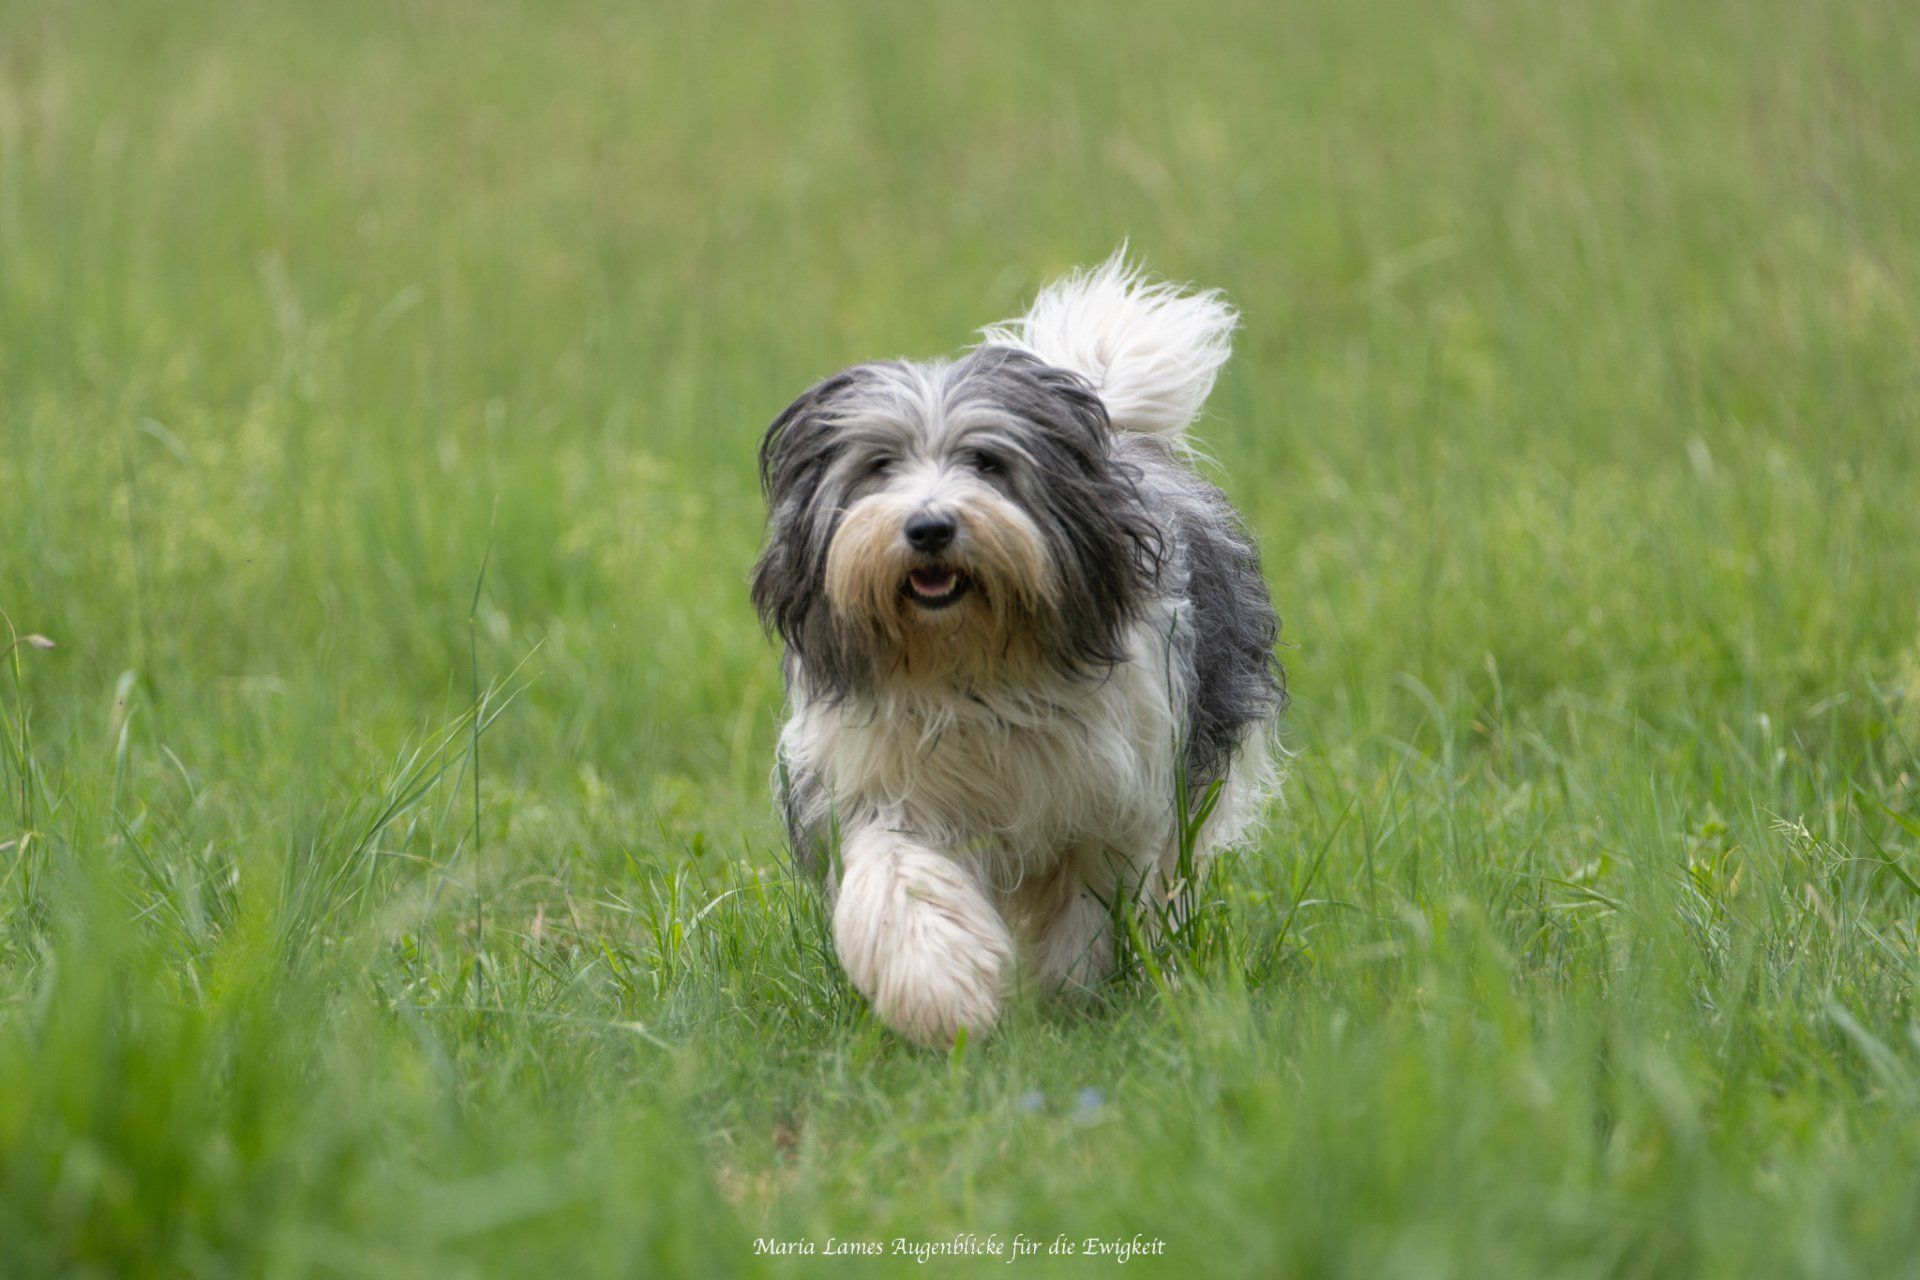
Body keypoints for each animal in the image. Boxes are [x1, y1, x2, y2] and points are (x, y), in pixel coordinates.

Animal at [752, 251, 1285, 1047]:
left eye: (986, 461)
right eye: (880, 466)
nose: (930, 527)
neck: (973, 666)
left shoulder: (1108, 798)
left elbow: (1086, 905)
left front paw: (1067, 1003)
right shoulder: (888, 784)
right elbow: (904, 882)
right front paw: (941, 995)